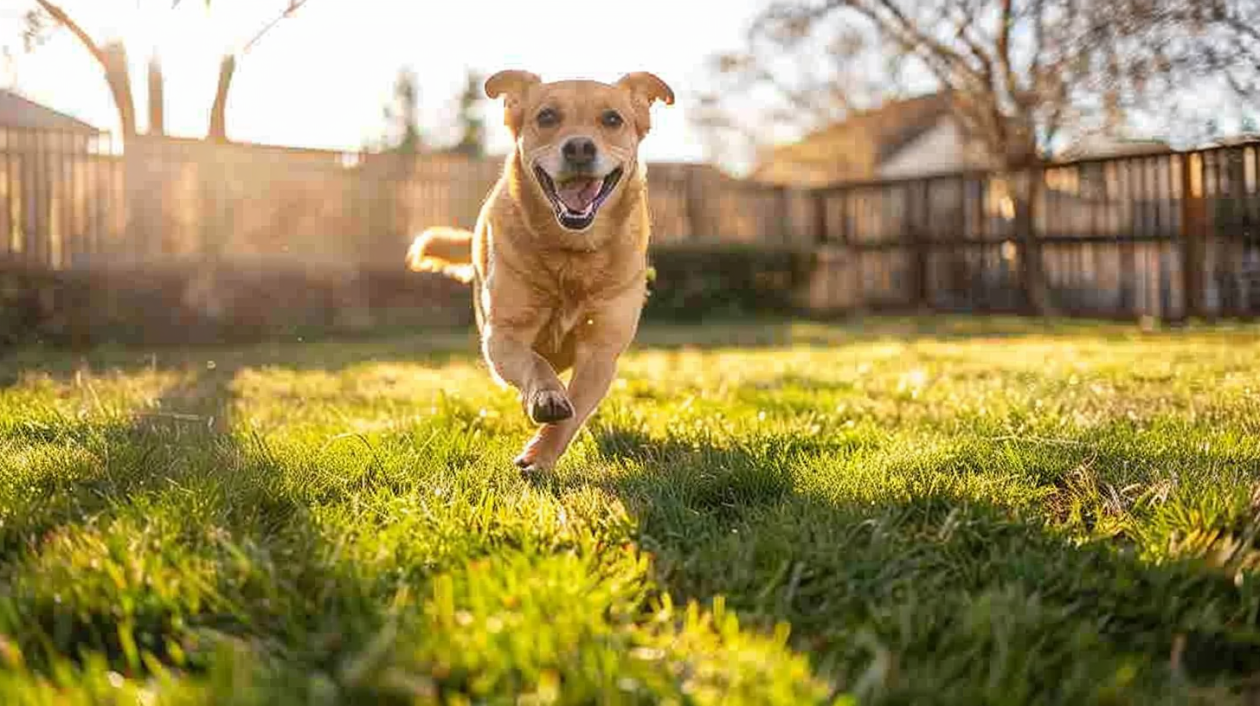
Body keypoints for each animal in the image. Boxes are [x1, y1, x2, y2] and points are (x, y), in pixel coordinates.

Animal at [408, 69, 675, 474]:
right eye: (547, 116)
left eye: (612, 119)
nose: (579, 147)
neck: (571, 250)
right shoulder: (503, 335)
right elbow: (535, 364)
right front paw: (547, 396)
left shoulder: (601, 349)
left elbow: (574, 411)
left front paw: (541, 456)